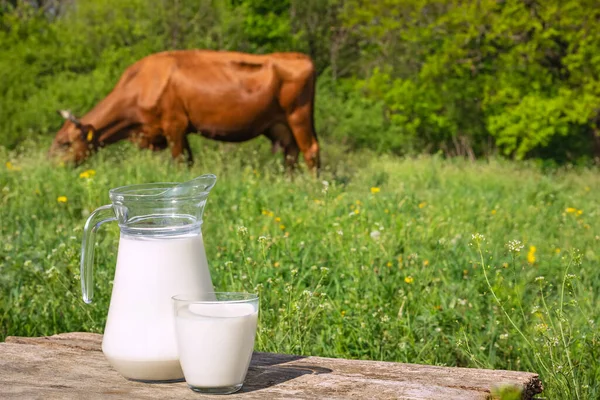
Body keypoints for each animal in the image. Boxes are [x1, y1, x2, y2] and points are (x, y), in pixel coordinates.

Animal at [49, 50, 322, 173]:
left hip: (298, 116)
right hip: (281, 125)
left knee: (310, 150)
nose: (50, 165)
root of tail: (300, 57)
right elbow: (189, 162)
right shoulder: (179, 130)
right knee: (291, 153)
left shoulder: (174, 125)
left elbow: (180, 162)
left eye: (64, 143)